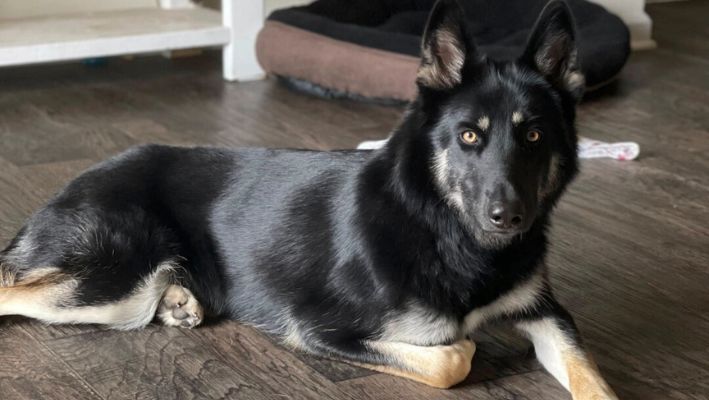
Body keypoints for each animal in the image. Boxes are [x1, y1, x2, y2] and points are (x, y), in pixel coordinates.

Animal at [0, 1, 616, 398]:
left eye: (533, 135)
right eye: (469, 136)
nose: (509, 217)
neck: (442, 227)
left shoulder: (548, 313)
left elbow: (591, 375)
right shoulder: (321, 329)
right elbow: (453, 359)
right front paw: (461, 349)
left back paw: (180, 300)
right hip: (113, 282)